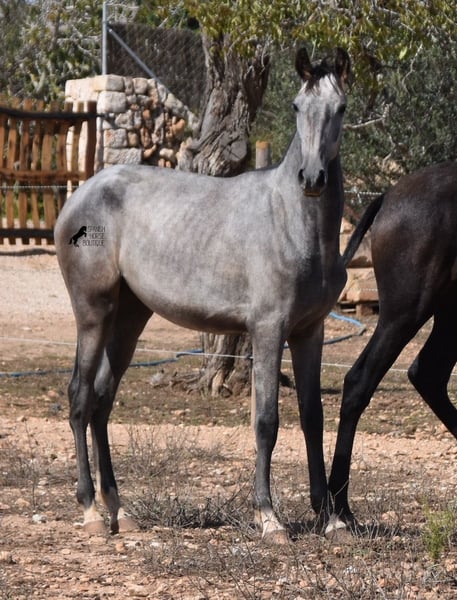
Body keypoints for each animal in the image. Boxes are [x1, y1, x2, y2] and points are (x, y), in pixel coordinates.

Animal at [54, 46, 350, 542]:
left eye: (341, 108)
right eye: (295, 106)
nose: (312, 177)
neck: (294, 221)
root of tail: (80, 196)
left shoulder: (310, 332)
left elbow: (313, 417)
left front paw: (331, 518)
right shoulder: (269, 330)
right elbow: (266, 421)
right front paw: (269, 518)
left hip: (129, 319)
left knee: (101, 400)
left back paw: (121, 510)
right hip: (93, 313)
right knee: (79, 398)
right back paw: (92, 511)